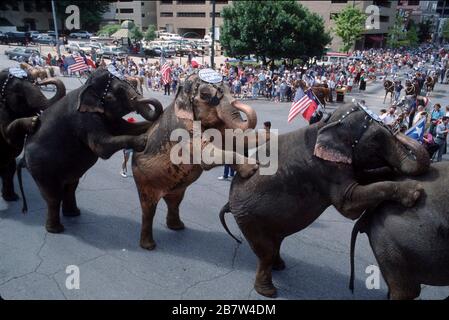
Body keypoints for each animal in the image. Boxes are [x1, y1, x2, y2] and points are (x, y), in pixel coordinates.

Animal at [0, 68, 65, 201]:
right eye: (18, 94)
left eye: (33, 82)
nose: (41, 81)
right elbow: (8, 134)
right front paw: (33, 121)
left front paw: (12, 198)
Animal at [19, 66, 164, 234]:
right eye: (115, 94)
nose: (138, 97)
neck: (85, 87)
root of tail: (22, 159)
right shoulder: (84, 119)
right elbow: (102, 147)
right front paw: (143, 141)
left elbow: (127, 128)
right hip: (41, 169)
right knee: (53, 197)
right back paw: (56, 229)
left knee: (71, 187)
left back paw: (73, 213)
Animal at [220, 100, 430, 298]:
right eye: (376, 140)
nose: (400, 128)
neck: (327, 123)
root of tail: (229, 201)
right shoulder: (325, 168)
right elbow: (348, 205)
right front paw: (414, 192)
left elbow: (362, 178)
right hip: (249, 218)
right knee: (266, 252)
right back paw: (268, 291)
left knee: (275, 243)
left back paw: (279, 266)